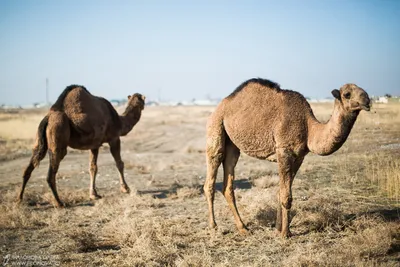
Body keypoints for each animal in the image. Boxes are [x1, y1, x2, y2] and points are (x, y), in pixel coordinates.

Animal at [205, 78, 370, 239]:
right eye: (347, 94)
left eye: (363, 90)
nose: (367, 100)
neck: (309, 128)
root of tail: (220, 106)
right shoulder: (284, 151)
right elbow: (286, 196)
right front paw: (286, 234)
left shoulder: (299, 157)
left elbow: (281, 192)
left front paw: (278, 229)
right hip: (216, 128)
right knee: (211, 173)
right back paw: (214, 226)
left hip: (232, 145)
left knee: (228, 183)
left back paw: (243, 228)